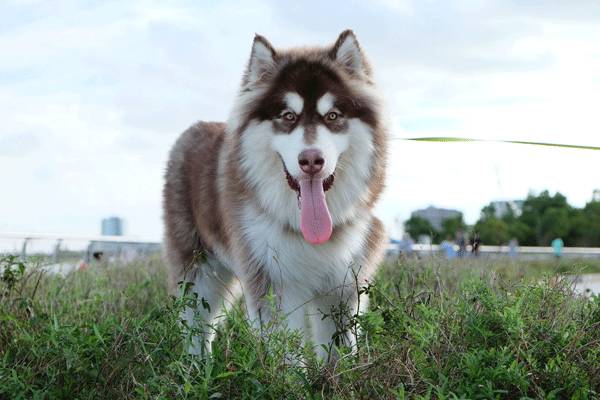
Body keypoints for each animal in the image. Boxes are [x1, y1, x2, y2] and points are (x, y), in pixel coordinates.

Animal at [163, 29, 390, 358]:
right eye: (288, 115)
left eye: (333, 116)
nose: (311, 160)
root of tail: (196, 127)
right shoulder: (271, 278)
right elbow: (286, 350)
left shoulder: (343, 282)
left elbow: (338, 348)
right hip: (198, 266)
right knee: (197, 325)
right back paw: (196, 370)